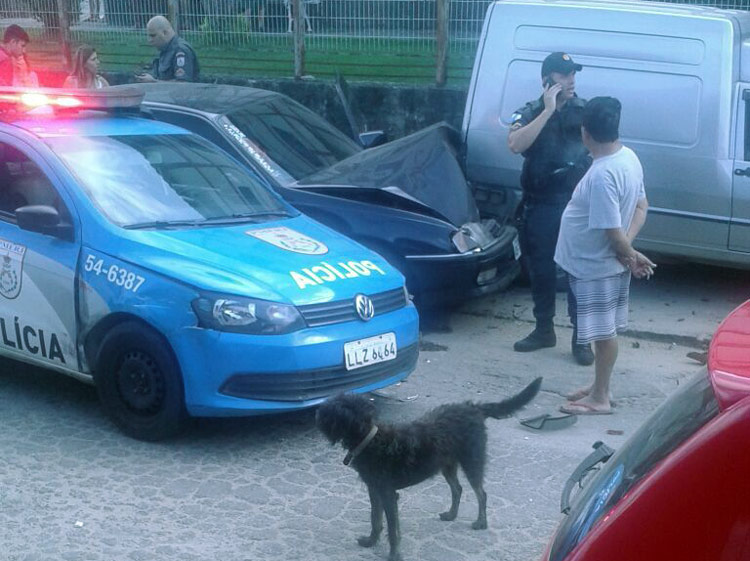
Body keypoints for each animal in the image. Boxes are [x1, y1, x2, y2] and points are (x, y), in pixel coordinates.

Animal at [314, 376, 544, 560]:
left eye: (329, 410)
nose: (316, 413)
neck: (370, 439)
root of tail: (473, 407)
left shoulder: (388, 494)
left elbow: (393, 529)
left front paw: (394, 554)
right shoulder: (374, 490)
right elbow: (375, 519)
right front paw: (371, 541)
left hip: (472, 461)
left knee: (481, 493)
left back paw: (481, 523)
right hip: (447, 465)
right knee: (458, 489)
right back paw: (451, 515)